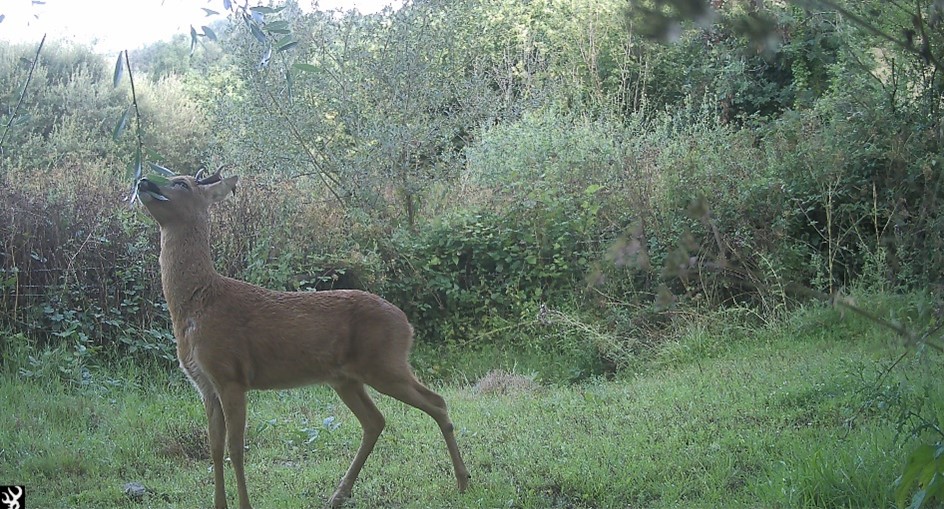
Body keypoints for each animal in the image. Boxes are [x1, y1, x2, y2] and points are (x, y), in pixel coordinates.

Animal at [136, 171, 468, 508]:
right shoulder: (204, 384)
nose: (143, 182)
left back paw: (462, 481)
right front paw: (219, 505)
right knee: (375, 420)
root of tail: (407, 324)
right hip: (346, 378)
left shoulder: (231, 376)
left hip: (385, 364)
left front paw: (245, 504)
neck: (197, 306)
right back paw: (339, 493)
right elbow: (215, 448)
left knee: (436, 402)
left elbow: (236, 449)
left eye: (181, 184)